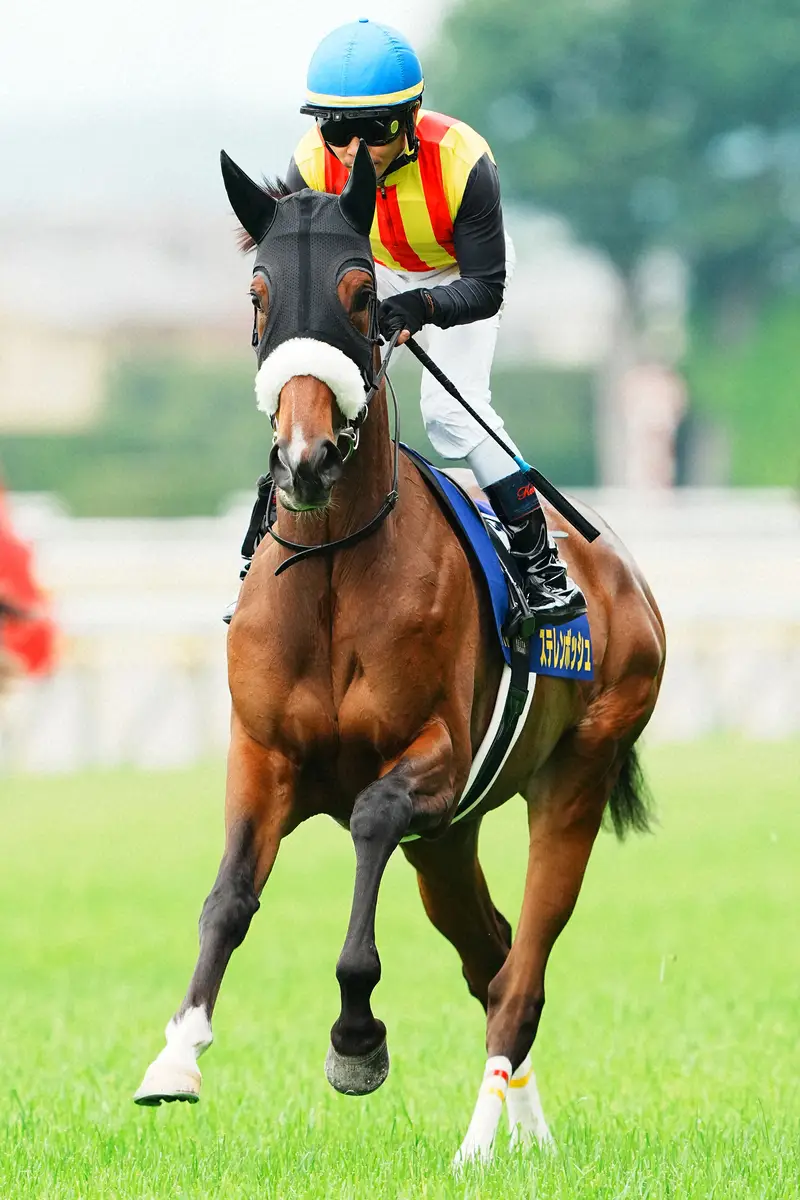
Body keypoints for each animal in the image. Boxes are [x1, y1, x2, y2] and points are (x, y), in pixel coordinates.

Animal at [134, 140, 666, 1161]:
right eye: (258, 291)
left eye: (358, 291)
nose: (303, 459)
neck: (336, 567)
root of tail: (623, 575)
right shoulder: (264, 753)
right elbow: (228, 896)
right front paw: (176, 1056)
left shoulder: (434, 760)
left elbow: (372, 826)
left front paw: (356, 1040)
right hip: (450, 845)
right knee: (491, 956)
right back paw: (524, 1135)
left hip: (574, 776)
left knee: (521, 976)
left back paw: (476, 1145)